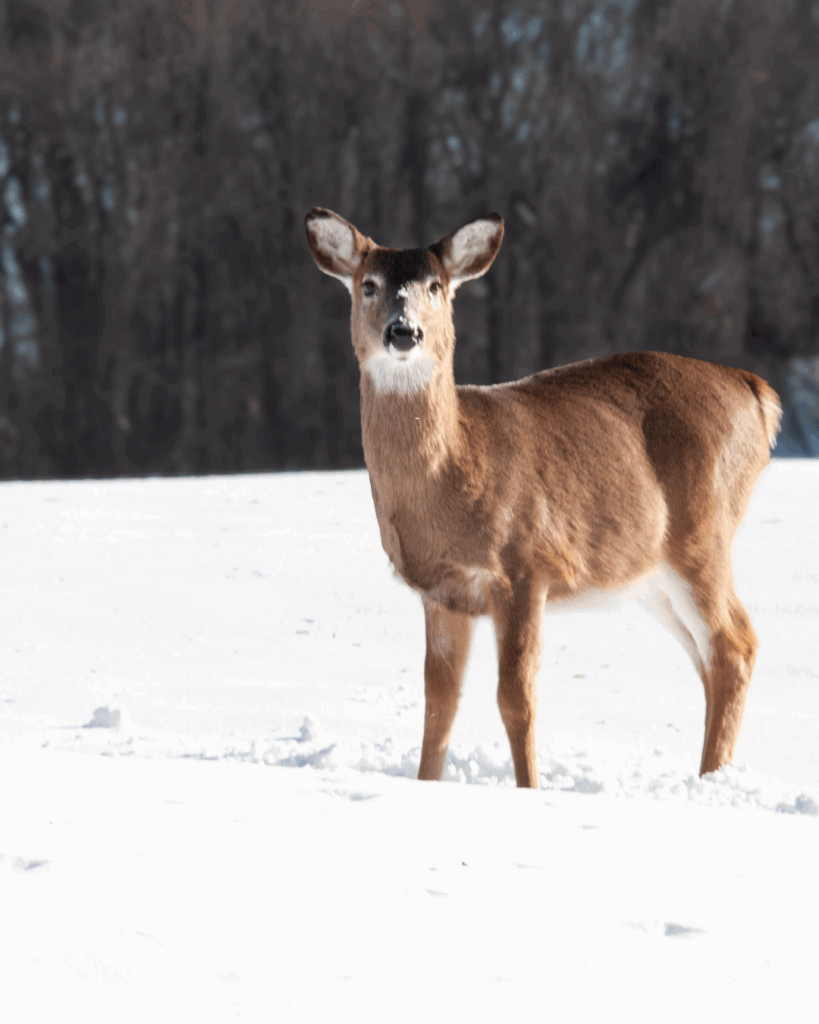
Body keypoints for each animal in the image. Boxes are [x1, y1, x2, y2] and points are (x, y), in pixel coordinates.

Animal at [305, 206, 782, 789]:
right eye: (368, 284)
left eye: (436, 286)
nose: (404, 331)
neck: (454, 474)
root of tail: (757, 392)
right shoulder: (441, 593)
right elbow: (439, 706)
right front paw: (427, 786)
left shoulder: (526, 565)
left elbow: (516, 699)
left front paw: (530, 789)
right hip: (651, 575)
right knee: (712, 657)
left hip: (703, 535)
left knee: (735, 644)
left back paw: (710, 779)